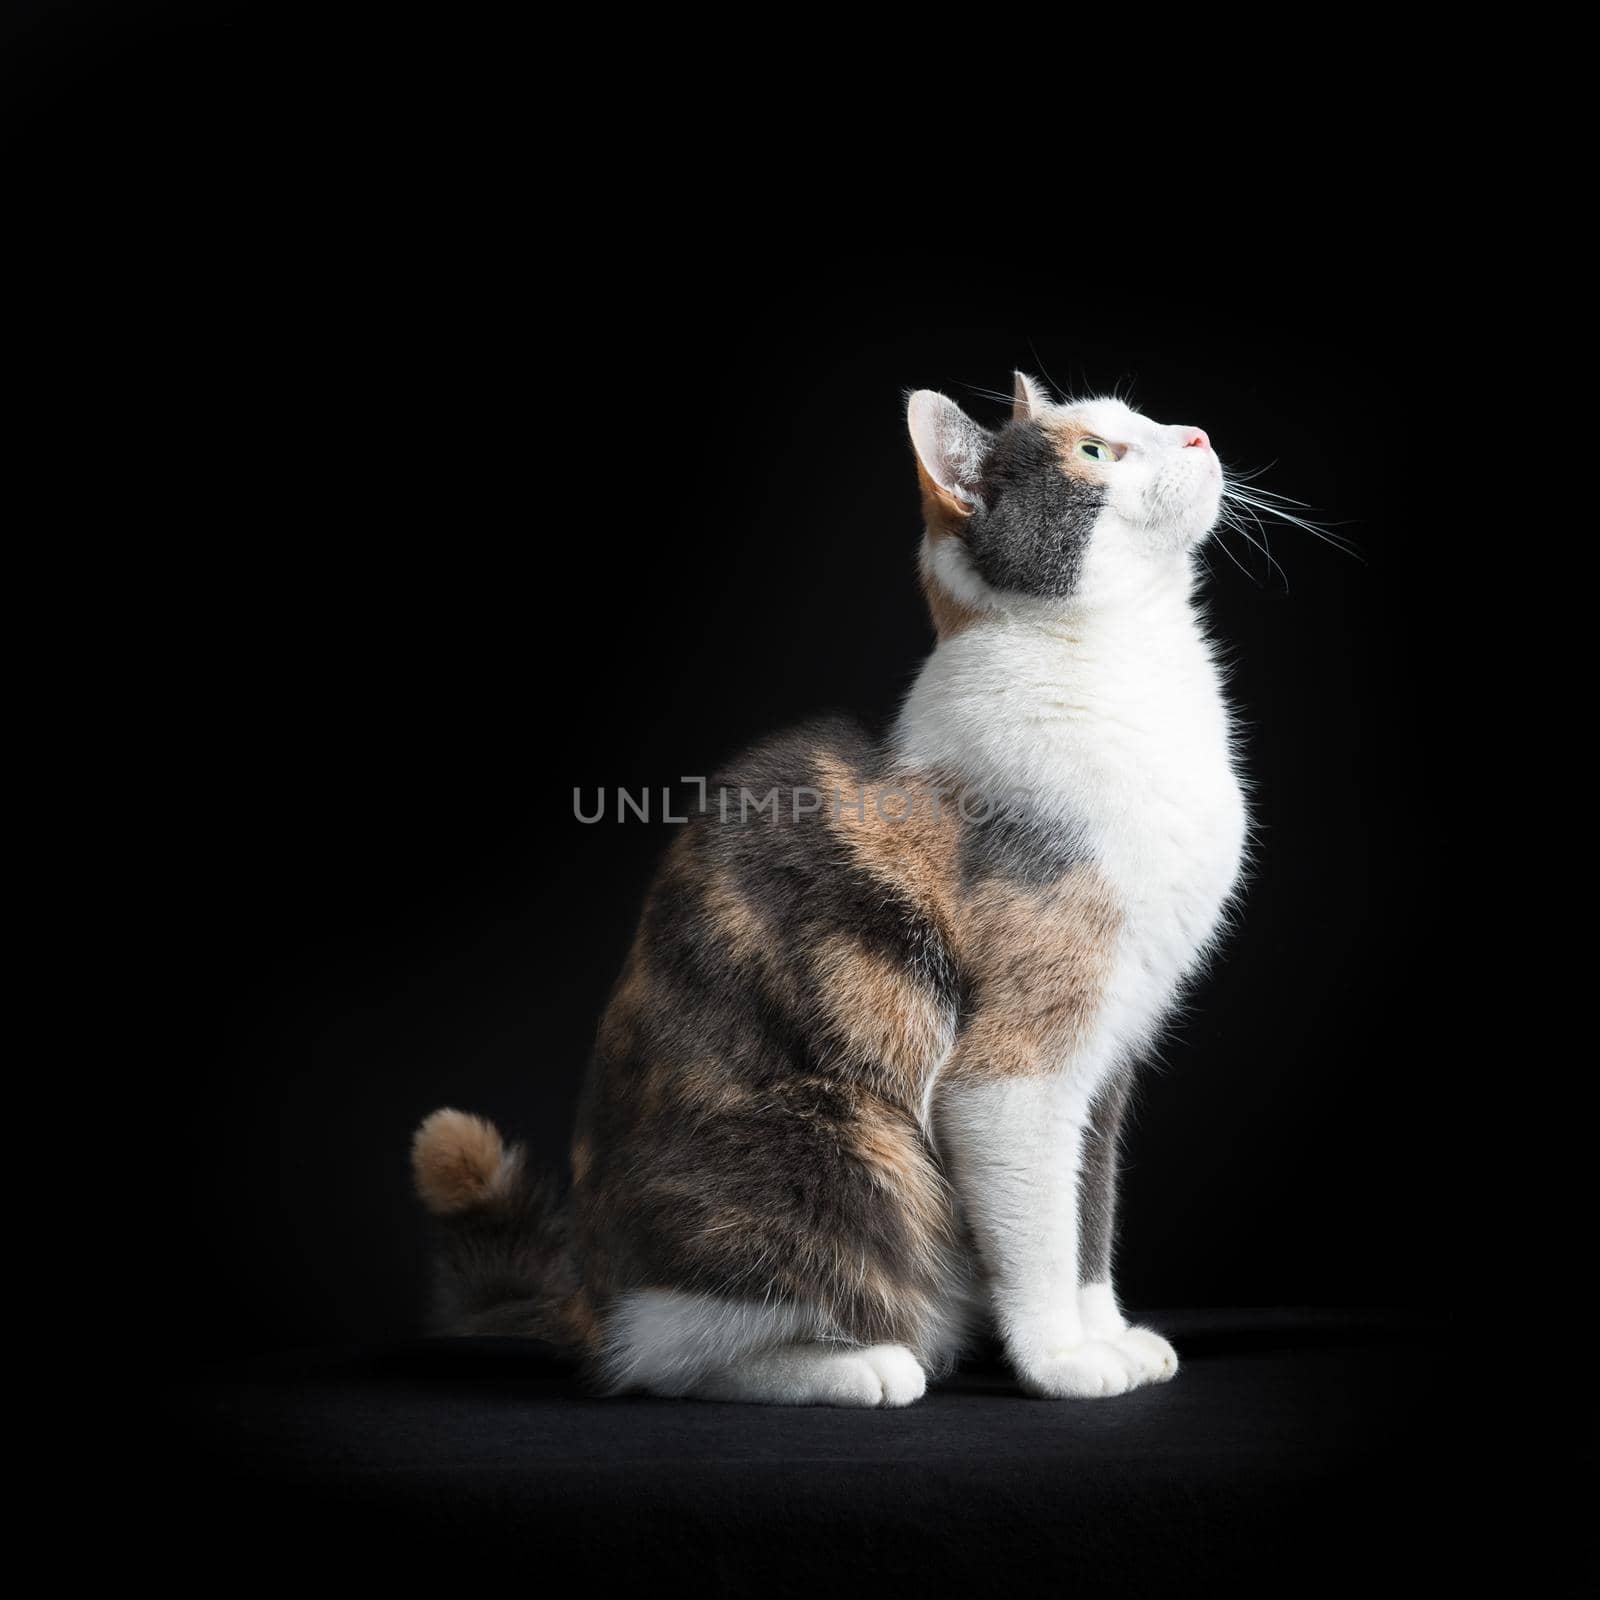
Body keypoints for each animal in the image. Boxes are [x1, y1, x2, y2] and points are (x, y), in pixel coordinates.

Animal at [412, 368, 1248, 1408]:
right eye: (1095, 452)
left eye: (1142, 420)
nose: (1199, 435)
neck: (1128, 667)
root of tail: (587, 1293)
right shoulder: (1018, 1060)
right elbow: (1041, 1234)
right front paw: (1061, 1361)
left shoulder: (1110, 1058)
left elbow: (1088, 1215)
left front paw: (1112, 1338)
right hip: (839, 1153)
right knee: (673, 1356)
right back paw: (857, 1366)